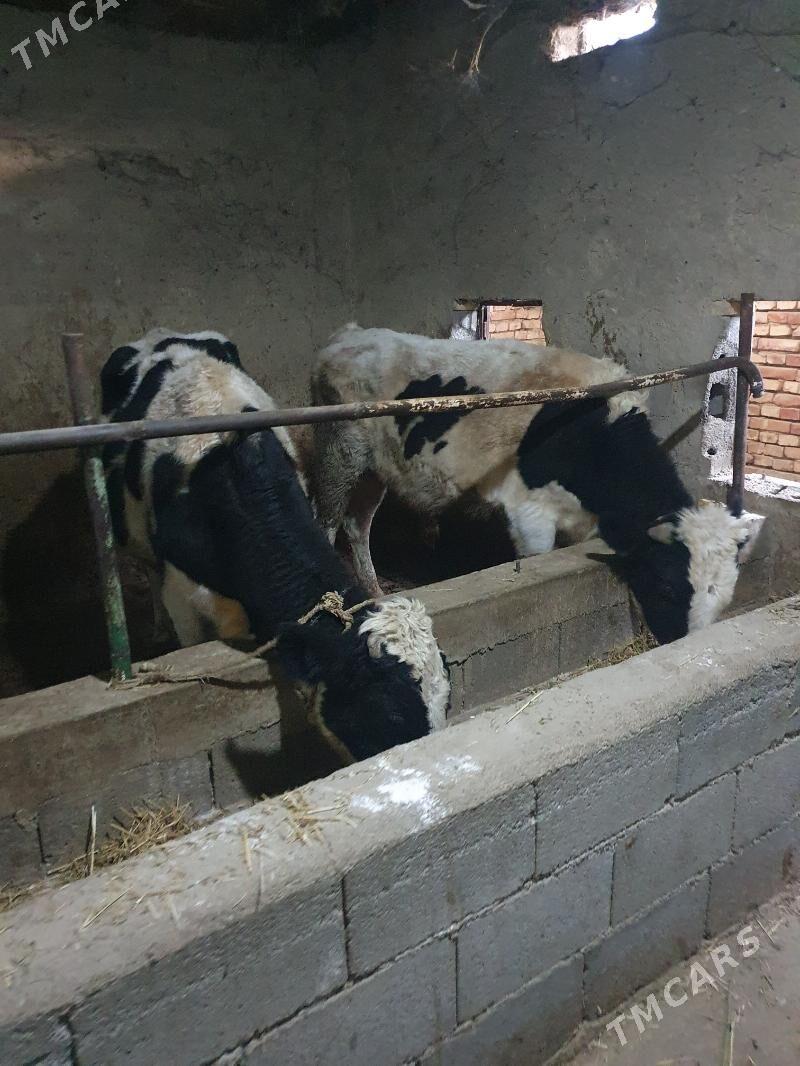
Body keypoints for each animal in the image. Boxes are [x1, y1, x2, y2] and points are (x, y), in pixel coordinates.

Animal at [311, 324, 752, 645]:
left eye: (725, 594)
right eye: (667, 588)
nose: (684, 643)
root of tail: (349, 334)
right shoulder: (529, 513)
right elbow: (537, 563)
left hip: (375, 470)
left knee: (358, 526)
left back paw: (375, 592)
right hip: (338, 454)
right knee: (326, 521)